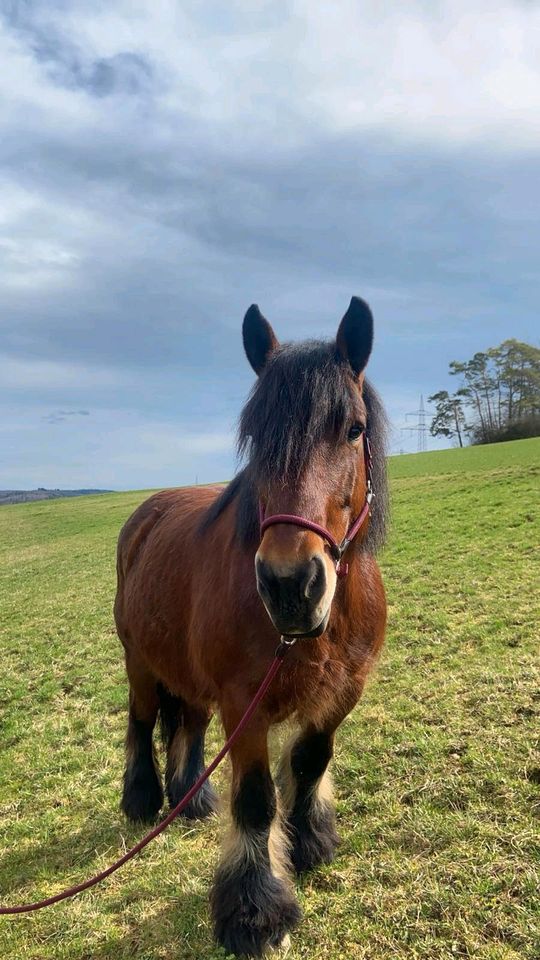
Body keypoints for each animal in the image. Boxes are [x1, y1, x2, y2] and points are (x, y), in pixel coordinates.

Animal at [113, 296, 388, 956]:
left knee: (187, 722)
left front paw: (311, 842)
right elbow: (257, 801)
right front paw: (255, 911)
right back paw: (143, 799)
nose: (290, 584)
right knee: (142, 722)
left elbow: (311, 761)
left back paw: (191, 798)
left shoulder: (343, 691)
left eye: (354, 428)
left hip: (188, 678)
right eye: (259, 435)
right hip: (141, 665)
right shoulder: (245, 704)